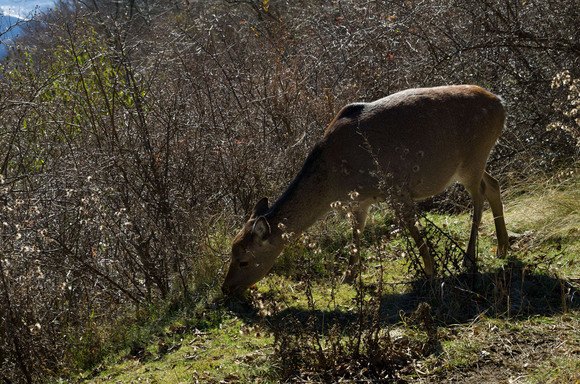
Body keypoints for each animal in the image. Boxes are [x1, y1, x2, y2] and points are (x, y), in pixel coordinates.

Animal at [220, 85, 510, 294]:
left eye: (244, 260)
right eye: (231, 251)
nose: (225, 288)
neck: (334, 182)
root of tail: (501, 103)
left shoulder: (396, 188)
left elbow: (413, 230)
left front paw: (429, 272)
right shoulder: (359, 202)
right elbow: (356, 236)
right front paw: (347, 279)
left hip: (474, 157)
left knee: (478, 199)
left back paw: (469, 258)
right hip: (472, 163)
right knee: (493, 185)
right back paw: (502, 248)